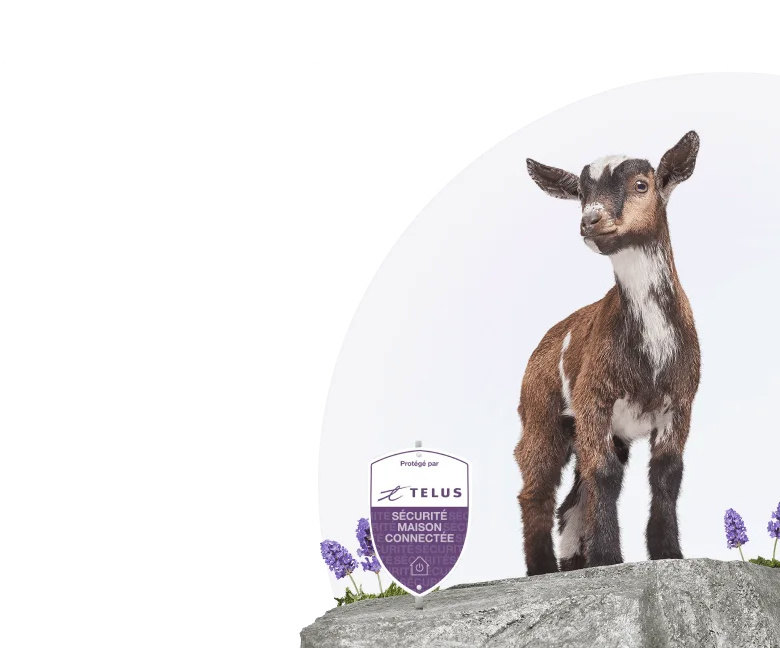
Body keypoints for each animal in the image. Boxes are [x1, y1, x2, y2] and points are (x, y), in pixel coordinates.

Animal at [515, 131, 701, 576]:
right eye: (581, 194)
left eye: (641, 185)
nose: (590, 220)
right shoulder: (593, 399)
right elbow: (605, 475)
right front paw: (607, 557)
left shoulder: (680, 402)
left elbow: (667, 473)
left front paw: (668, 551)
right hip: (541, 413)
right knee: (537, 486)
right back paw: (542, 567)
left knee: (572, 496)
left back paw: (572, 563)